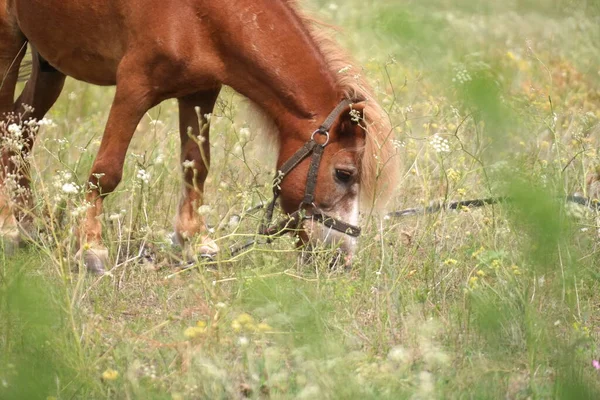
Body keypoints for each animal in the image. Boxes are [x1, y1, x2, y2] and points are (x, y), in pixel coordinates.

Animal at [0, 0, 398, 274]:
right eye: (344, 174)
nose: (342, 258)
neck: (200, 13)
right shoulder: (133, 85)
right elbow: (106, 172)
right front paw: (90, 249)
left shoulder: (200, 92)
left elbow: (196, 166)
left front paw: (194, 241)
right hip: (9, 44)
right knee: (7, 126)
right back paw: (9, 228)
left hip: (48, 62)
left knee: (20, 130)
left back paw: (29, 223)